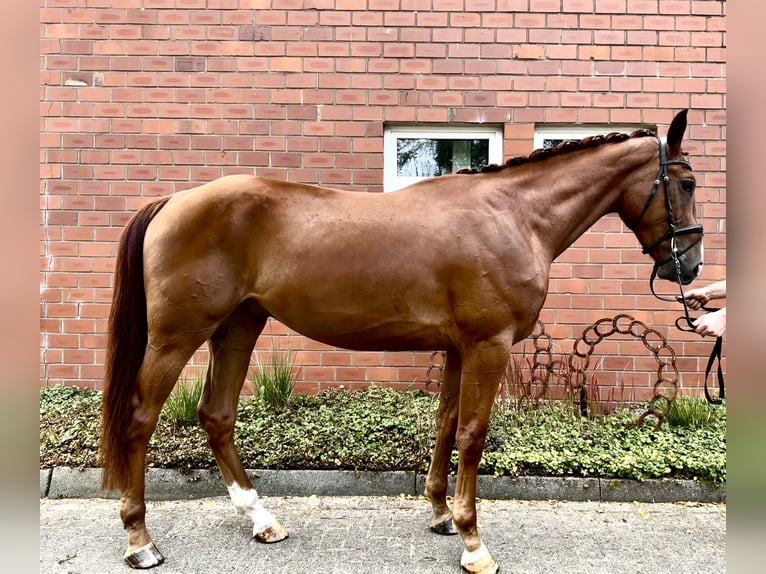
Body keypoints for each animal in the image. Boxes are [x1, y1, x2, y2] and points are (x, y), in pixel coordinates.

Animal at [99, 109, 703, 573]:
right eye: (688, 184)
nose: (690, 266)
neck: (515, 217)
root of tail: (175, 201)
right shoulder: (489, 345)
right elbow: (473, 435)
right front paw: (473, 542)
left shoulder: (460, 348)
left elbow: (447, 424)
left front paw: (440, 515)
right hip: (178, 336)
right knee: (139, 419)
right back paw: (140, 542)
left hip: (239, 325)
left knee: (217, 415)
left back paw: (262, 520)